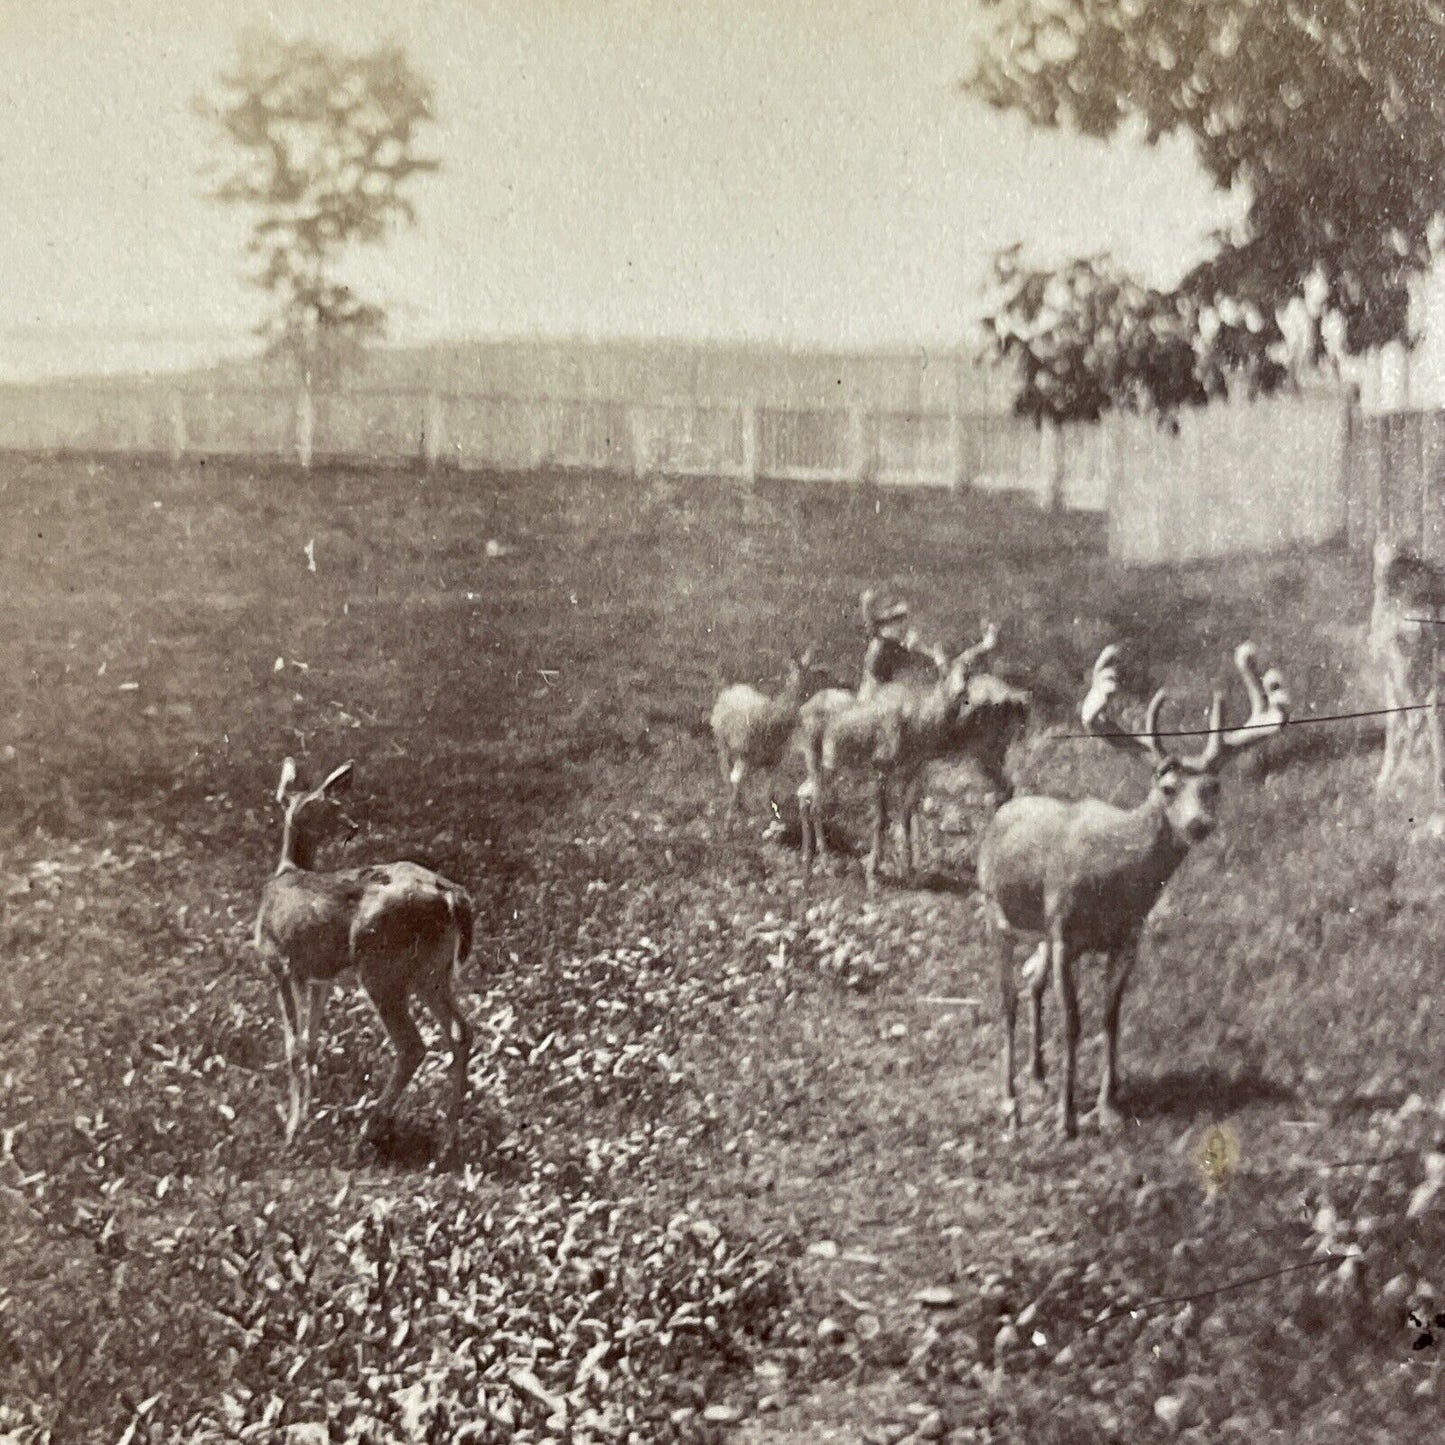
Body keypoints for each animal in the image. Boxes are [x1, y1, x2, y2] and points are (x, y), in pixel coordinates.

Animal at [249, 757, 473, 1150]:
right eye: (330, 808)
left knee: (413, 1044)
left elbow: (293, 1048)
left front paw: (292, 1130)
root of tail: (451, 895)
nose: (352, 827)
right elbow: (311, 1044)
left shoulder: (279, 963)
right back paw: (447, 1140)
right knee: (461, 1033)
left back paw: (372, 1127)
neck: (287, 871)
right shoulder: (318, 977)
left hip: (382, 967)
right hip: (432, 971)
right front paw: (308, 1113)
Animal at [708, 650, 826, 832]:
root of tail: (734, 688)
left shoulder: (772, 763)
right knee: (727, 772)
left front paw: (771, 822)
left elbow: (767, 794)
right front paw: (728, 825)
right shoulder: (745, 756)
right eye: (809, 678)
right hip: (724, 744)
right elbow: (737, 783)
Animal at [976, 644, 1294, 1138]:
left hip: (1041, 931)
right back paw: (1011, 1101)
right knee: (1007, 997)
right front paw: (1067, 1119)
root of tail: (1004, 809)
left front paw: (1108, 1108)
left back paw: (1038, 1077)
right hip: (997, 914)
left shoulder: (1126, 937)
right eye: (1167, 786)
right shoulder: (1065, 933)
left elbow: (1111, 1018)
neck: (1115, 883)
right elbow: (1074, 1022)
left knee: (1032, 982)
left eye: (1213, 786)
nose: (1199, 824)